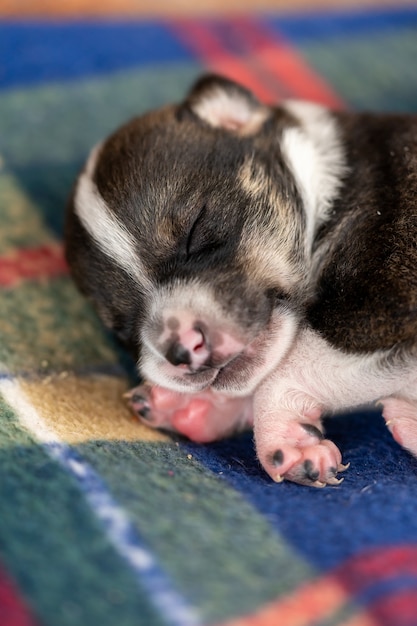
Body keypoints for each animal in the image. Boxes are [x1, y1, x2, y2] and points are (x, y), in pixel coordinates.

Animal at [64, 74, 416, 488]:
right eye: (122, 328)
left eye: (196, 230)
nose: (181, 350)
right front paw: (198, 407)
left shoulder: (379, 298)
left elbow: (297, 362)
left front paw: (283, 434)